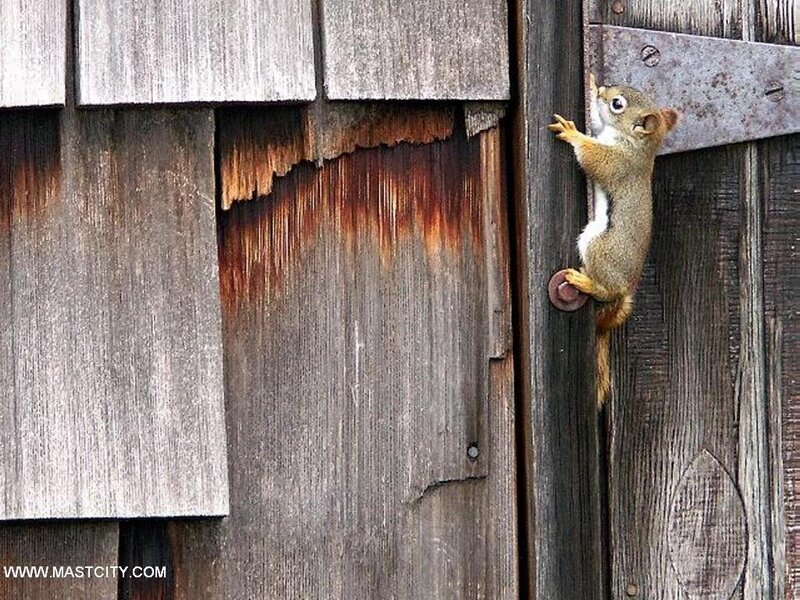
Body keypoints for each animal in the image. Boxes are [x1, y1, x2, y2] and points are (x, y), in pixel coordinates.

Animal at [548, 74, 678, 408]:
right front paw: (593, 82)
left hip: (598, 246)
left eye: (618, 104)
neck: (638, 147)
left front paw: (573, 133)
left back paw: (585, 282)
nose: (605, 91)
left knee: (604, 287)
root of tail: (624, 288)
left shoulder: (617, 162)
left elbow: (593, 157)